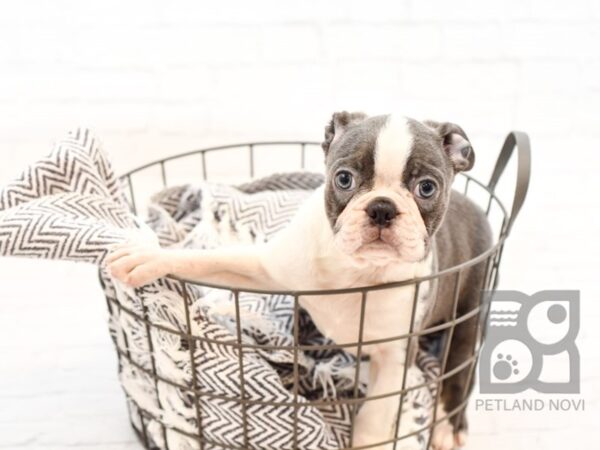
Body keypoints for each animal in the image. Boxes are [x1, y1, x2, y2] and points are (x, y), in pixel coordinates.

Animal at [108, 113, 492, 450]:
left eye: (426, 188)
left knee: (458, 372)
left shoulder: (395, 353)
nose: (382, 207)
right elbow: (208, 260)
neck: (357, 269)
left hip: (469, 312)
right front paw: (149, 256)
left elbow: (376, 414)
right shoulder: (263, 269)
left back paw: (448, 428)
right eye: (343, 179)